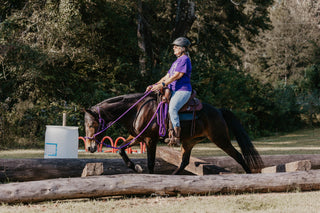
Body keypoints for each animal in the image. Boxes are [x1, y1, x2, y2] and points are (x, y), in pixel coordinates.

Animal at [84, 93, 264, 175]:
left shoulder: (150, 139)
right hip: (189, 142)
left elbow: (151, 162)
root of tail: (219, 111)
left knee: (238, 155)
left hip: (220, 139)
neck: (137, 110)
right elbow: (121, 149)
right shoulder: (137, 137)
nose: (90, 147)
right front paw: (135, 167)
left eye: (92, 124)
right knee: (184, 161)